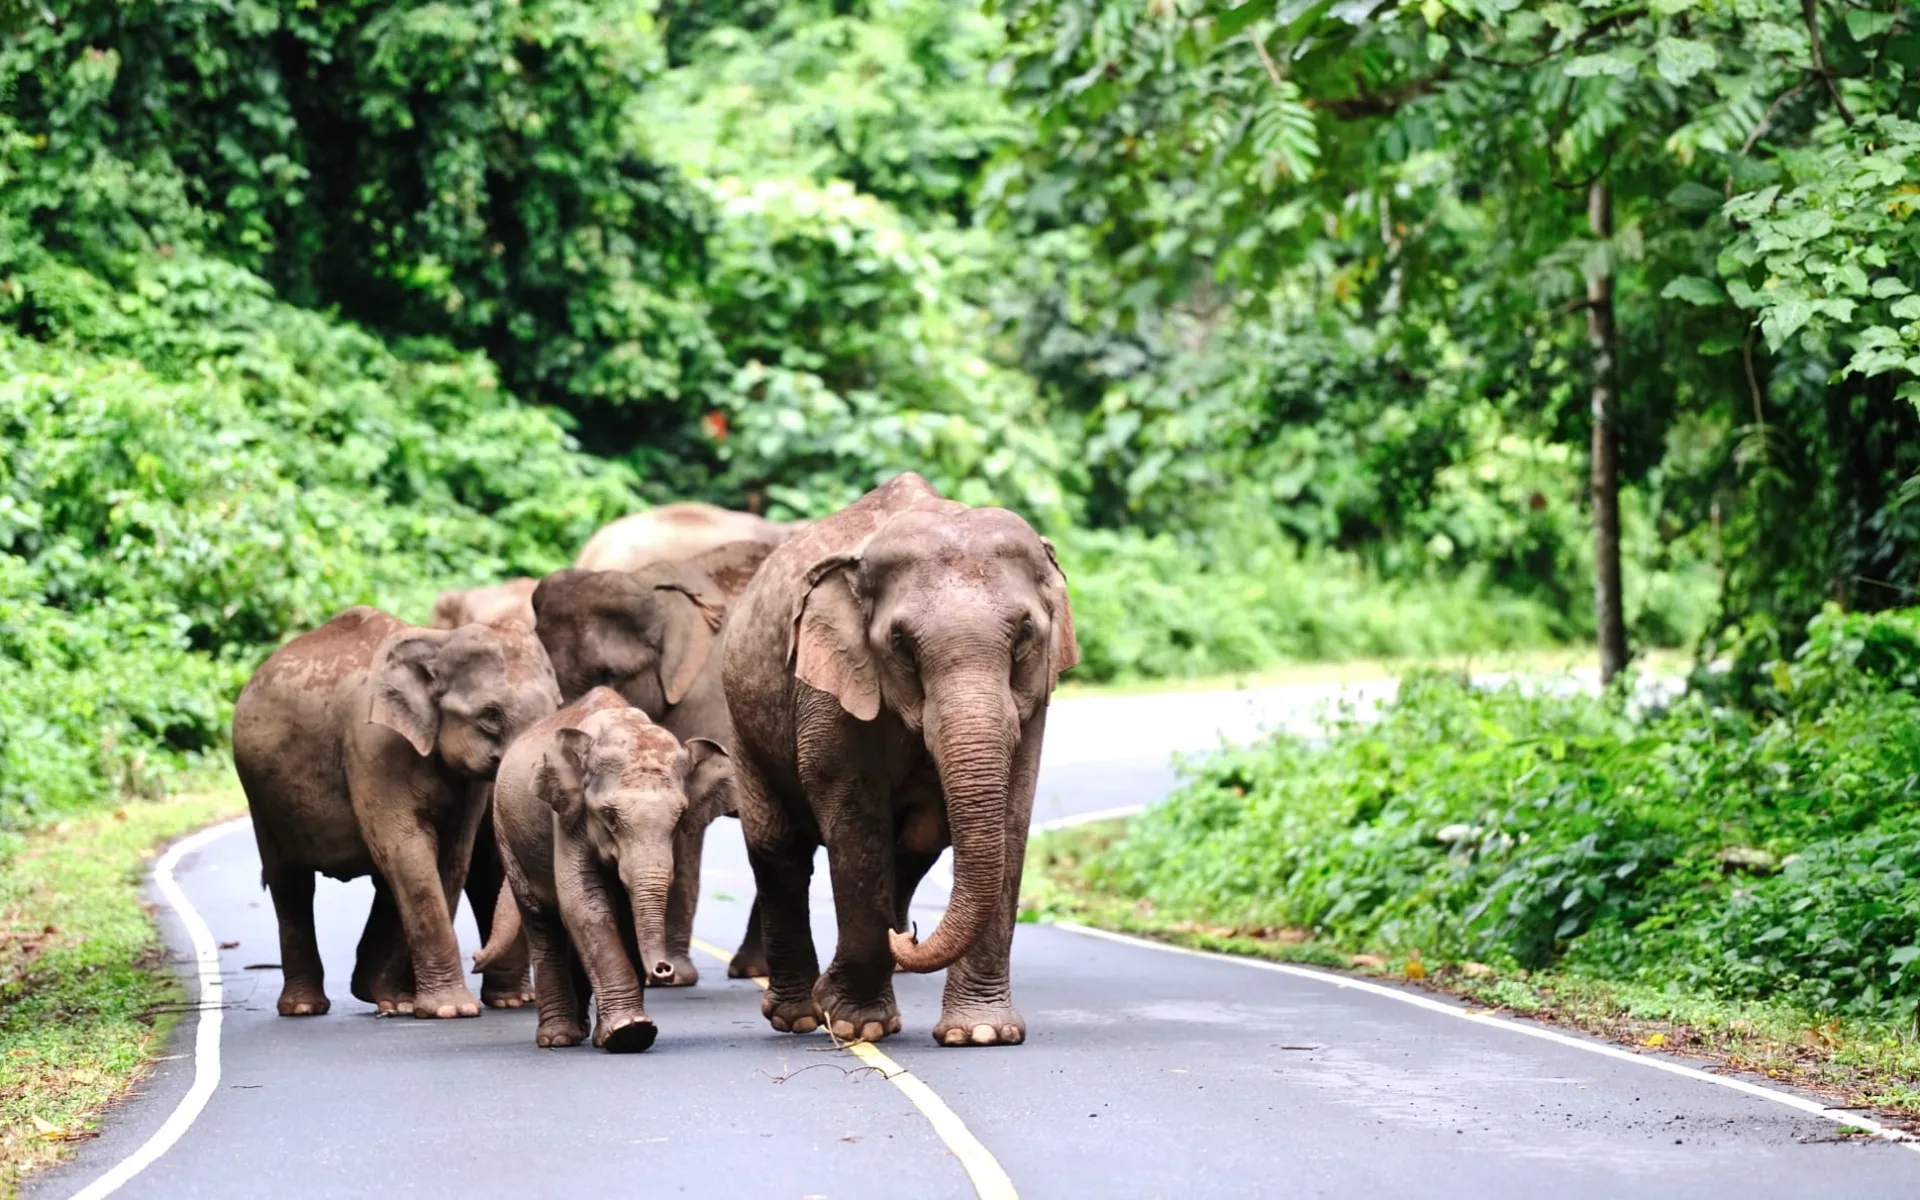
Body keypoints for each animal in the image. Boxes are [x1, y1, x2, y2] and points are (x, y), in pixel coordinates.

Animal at [233, 602, 560, 1013]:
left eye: (559, 706)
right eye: (491, 715)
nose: (476, 959)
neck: (438, 643)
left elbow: (450, 856)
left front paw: (411, 1004)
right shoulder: (373, 746)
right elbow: (407, 849)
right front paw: (449, 1009)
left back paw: (386, 996)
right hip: (259, 796)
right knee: (290, 883)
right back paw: (307, 1007)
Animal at [478, 687, 725, 1052]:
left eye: (680, 816)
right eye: (609, 815)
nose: (663, 970)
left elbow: (619, 913)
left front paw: (624, 1033)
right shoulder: (569, 816)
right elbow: (584, 903)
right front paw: (630, 1032)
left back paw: (582, 1032)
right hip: (506, 831)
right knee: (541, 921)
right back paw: (558, 1038)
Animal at [721, 472, 1082, 1044]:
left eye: (1025, 635)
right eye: (900, 644)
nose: (908, 935)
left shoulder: (1035, 699)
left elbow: (1011, 813)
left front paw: (981, 1034)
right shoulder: (829, 686)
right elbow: (854, 818)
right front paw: (858, 1024)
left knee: (914, 849)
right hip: (742, 724)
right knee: (778, 849)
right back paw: (799, 1016)